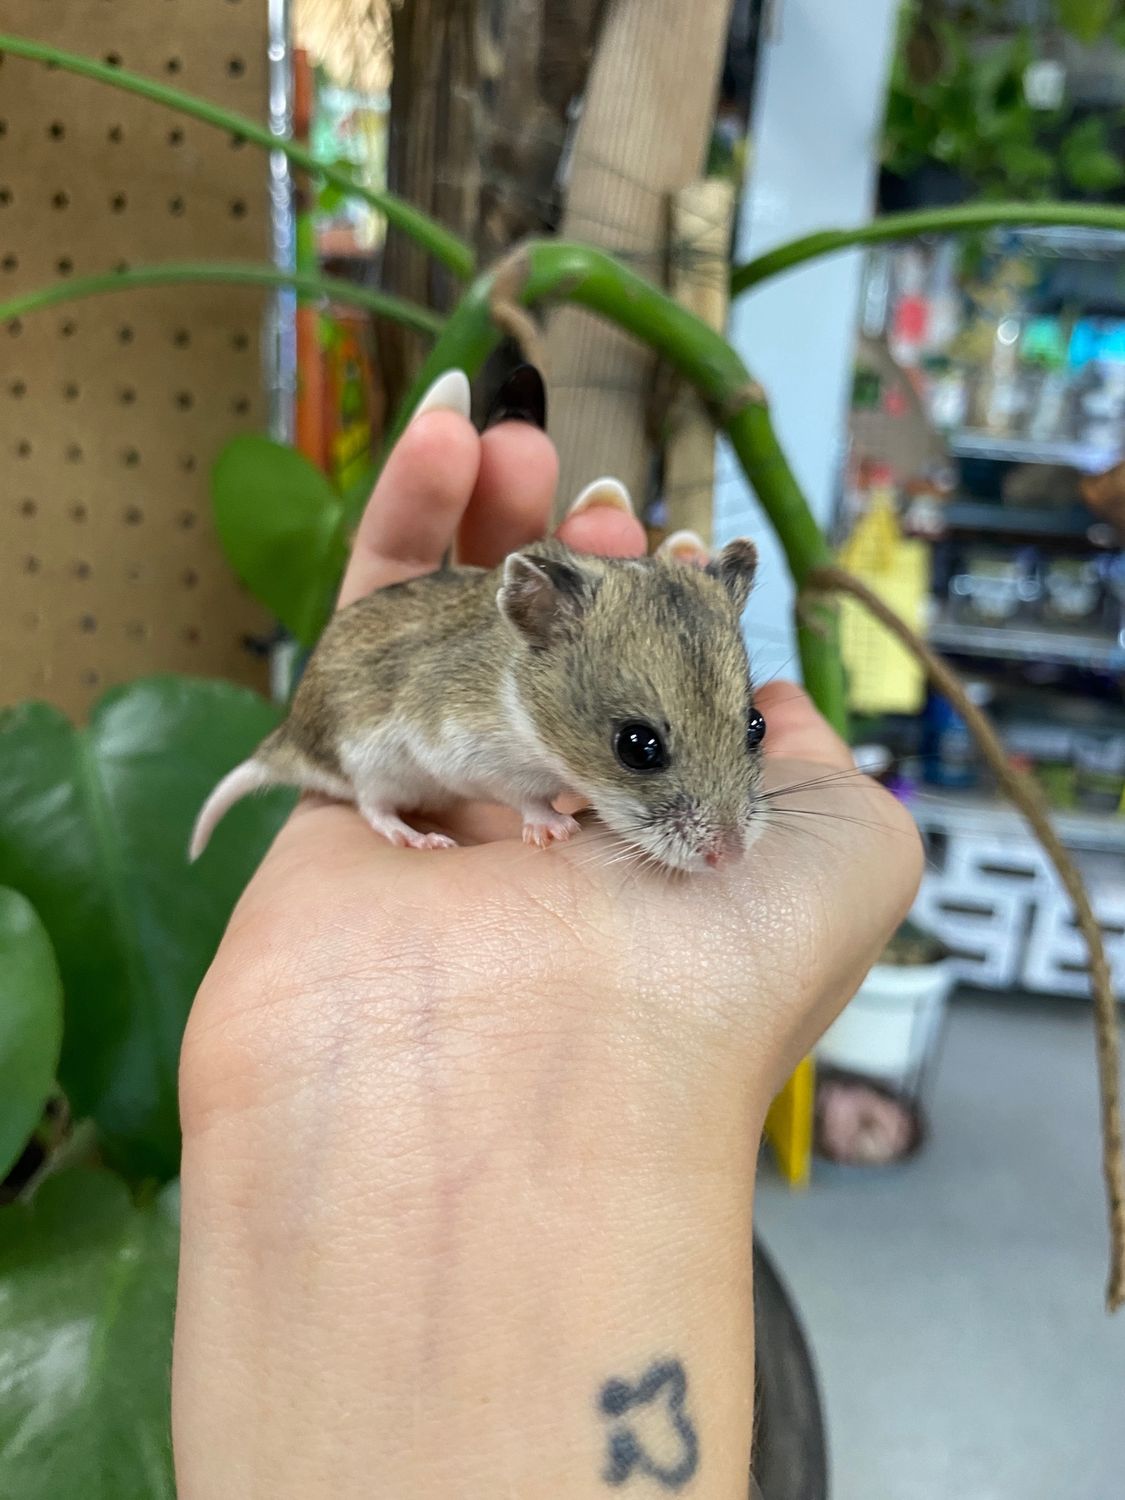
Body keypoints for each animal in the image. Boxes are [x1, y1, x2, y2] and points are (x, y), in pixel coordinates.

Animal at [189, 535, 767, 873]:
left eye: (756, 725)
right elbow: (525, 798)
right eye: (636, 746)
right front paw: (556, 827)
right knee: (374, 809)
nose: (731, 858)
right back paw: (421, 839)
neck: (524, 705)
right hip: (372, 764)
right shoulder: (471, 755)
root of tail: (291, 735)